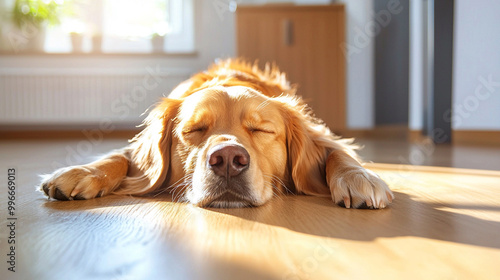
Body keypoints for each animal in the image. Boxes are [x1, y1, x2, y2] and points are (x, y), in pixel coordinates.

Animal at [41, 58, 392, 208]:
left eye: (261, 129)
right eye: (194, 130)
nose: (227, 160)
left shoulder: (323, 135)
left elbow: (339, 154)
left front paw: (359, 178)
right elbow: (118, 156)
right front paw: (81, 172)